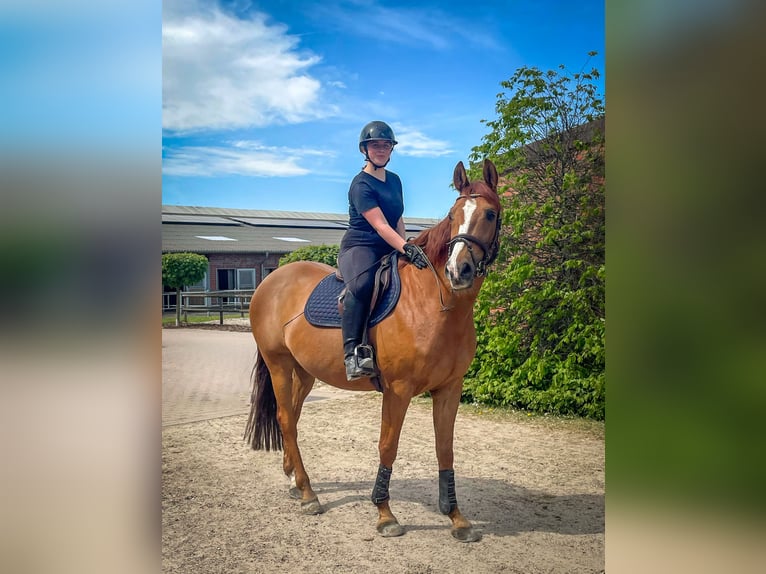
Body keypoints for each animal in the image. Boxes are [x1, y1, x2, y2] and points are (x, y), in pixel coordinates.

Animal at [244, 158, 501, 542]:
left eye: (489, 213)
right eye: (453, 215)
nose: (459, 271)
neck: (435, 304)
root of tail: (272, 279)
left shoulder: (449, 389)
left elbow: (445, 450)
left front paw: (457, 518)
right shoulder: (398, 390)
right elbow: (388, 446)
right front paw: (384, 514)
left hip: (303, 372)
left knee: (289, 415)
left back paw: (294, 479)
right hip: (278, 365)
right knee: (287, 419)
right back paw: (308, 494)